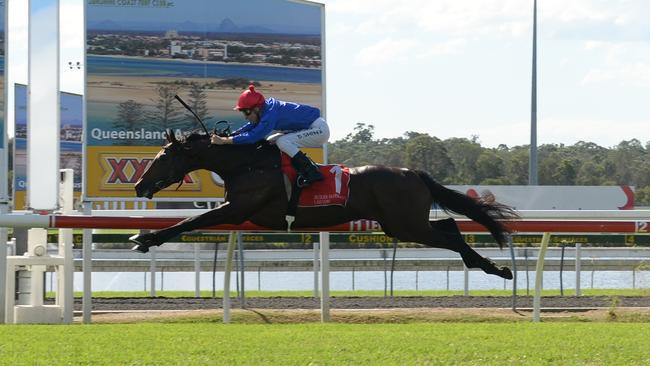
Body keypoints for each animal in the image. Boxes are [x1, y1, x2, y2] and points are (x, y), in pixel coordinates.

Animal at [130, 132, 516, 280]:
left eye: (163, 157)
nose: (139, 185)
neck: (247, 164)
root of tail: (413, 172)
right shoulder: (236, 211)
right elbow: (189, 221)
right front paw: (144, 237)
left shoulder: (236, 210)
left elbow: (188, 222)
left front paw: (144, 239)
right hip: (403, 224)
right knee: (450, 227)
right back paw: (489, 266)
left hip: (406, 225)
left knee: (449, 235)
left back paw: (497, 268)